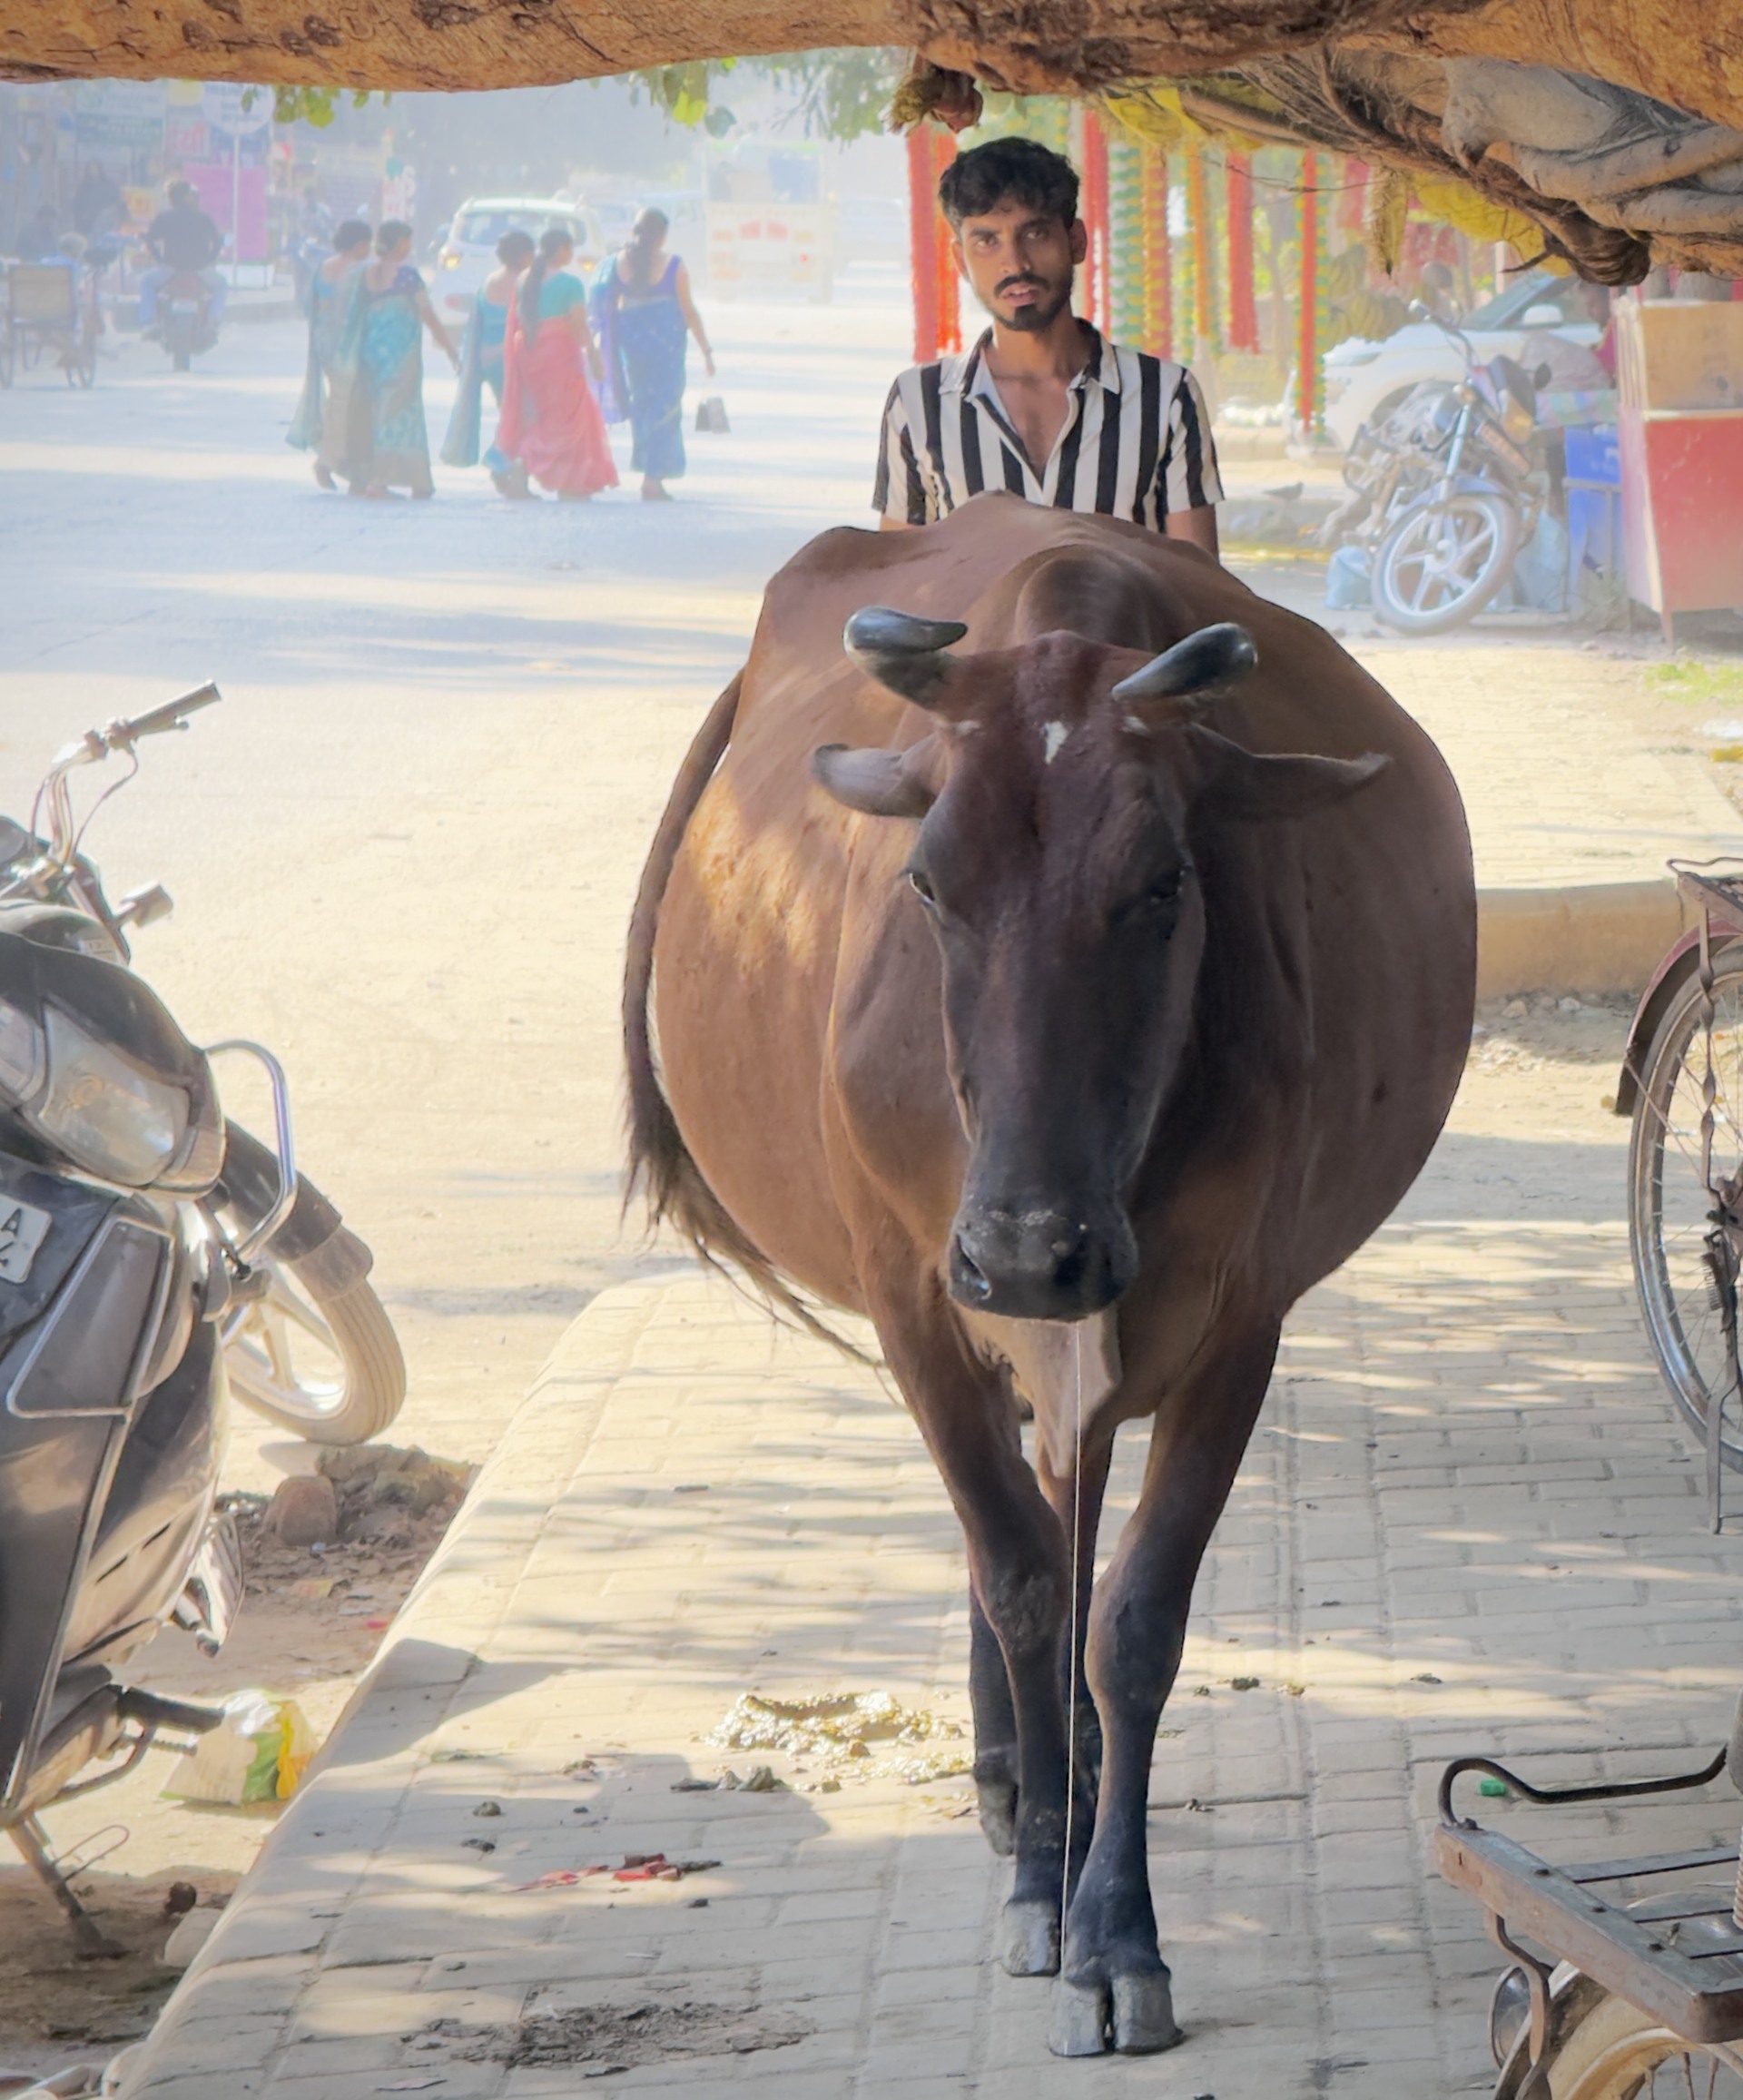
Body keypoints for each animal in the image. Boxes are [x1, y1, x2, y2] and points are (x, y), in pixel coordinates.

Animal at [624, 493, 1474, 2057]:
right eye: (927, 881)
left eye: (1162, 881)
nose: (1029, 1242)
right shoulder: (919, 1303)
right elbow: (1022, 1581)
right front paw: (1041, 1883)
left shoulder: (1236, 1323)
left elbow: (1129, 1621)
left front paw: (1115, 1929)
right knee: (1011, 1542)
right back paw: (1025, 1778)